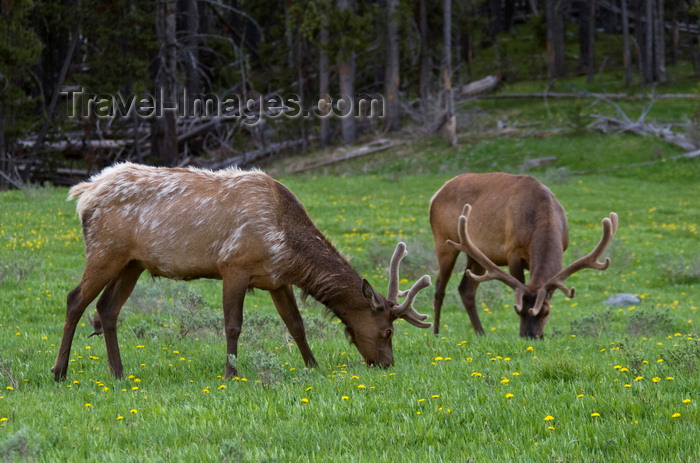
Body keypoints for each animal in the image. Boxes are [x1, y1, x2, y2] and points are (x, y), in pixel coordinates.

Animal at [50, 162, 432, 380]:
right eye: (387, 331)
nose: (387, 364)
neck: (286, 242)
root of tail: (85, 193)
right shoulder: (233, 265)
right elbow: (233, 325)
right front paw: (231, 373)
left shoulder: (277, 279)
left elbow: (296, 325)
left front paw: (314, 366)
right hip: (105, 251)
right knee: (75, 300)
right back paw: (60, 372)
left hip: (132, 263)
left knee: (106, 308)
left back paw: (118, 373)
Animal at [430, 172, 620, 338]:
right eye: (518, 311)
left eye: (546, 312)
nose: (529, 337)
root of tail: (438, 192)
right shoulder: (513, 252)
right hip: (443, 241)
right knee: (439, 288)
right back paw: (436, 333)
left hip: (477, 254)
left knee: (466, 289)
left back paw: (481, 334)